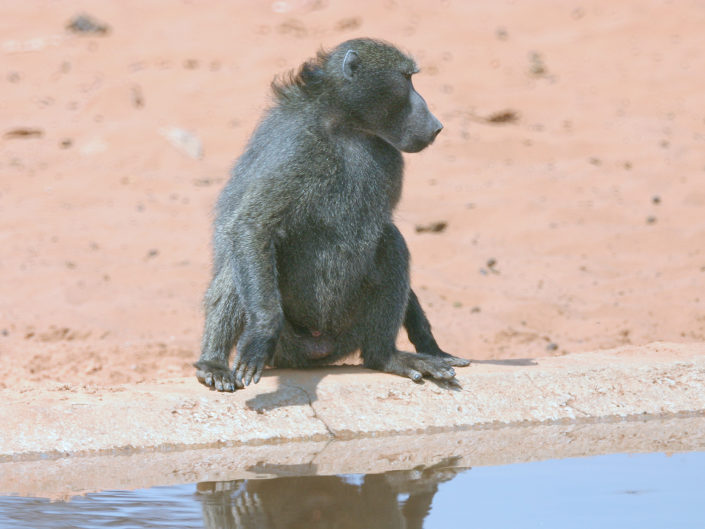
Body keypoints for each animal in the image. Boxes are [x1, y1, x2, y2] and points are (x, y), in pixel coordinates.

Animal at [194, 38, 470, 392]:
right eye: (407, 79)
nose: (436, 126)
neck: (346, 127)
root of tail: (319, 345)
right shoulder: (298, 149)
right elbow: (252, 226)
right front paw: (258, 335)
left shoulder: (390, 157)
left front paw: (430, 344)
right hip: (288, 343)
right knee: (238, 255)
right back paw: (213, 362)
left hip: (349, 330)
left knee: (390, 240)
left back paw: (387, 357)